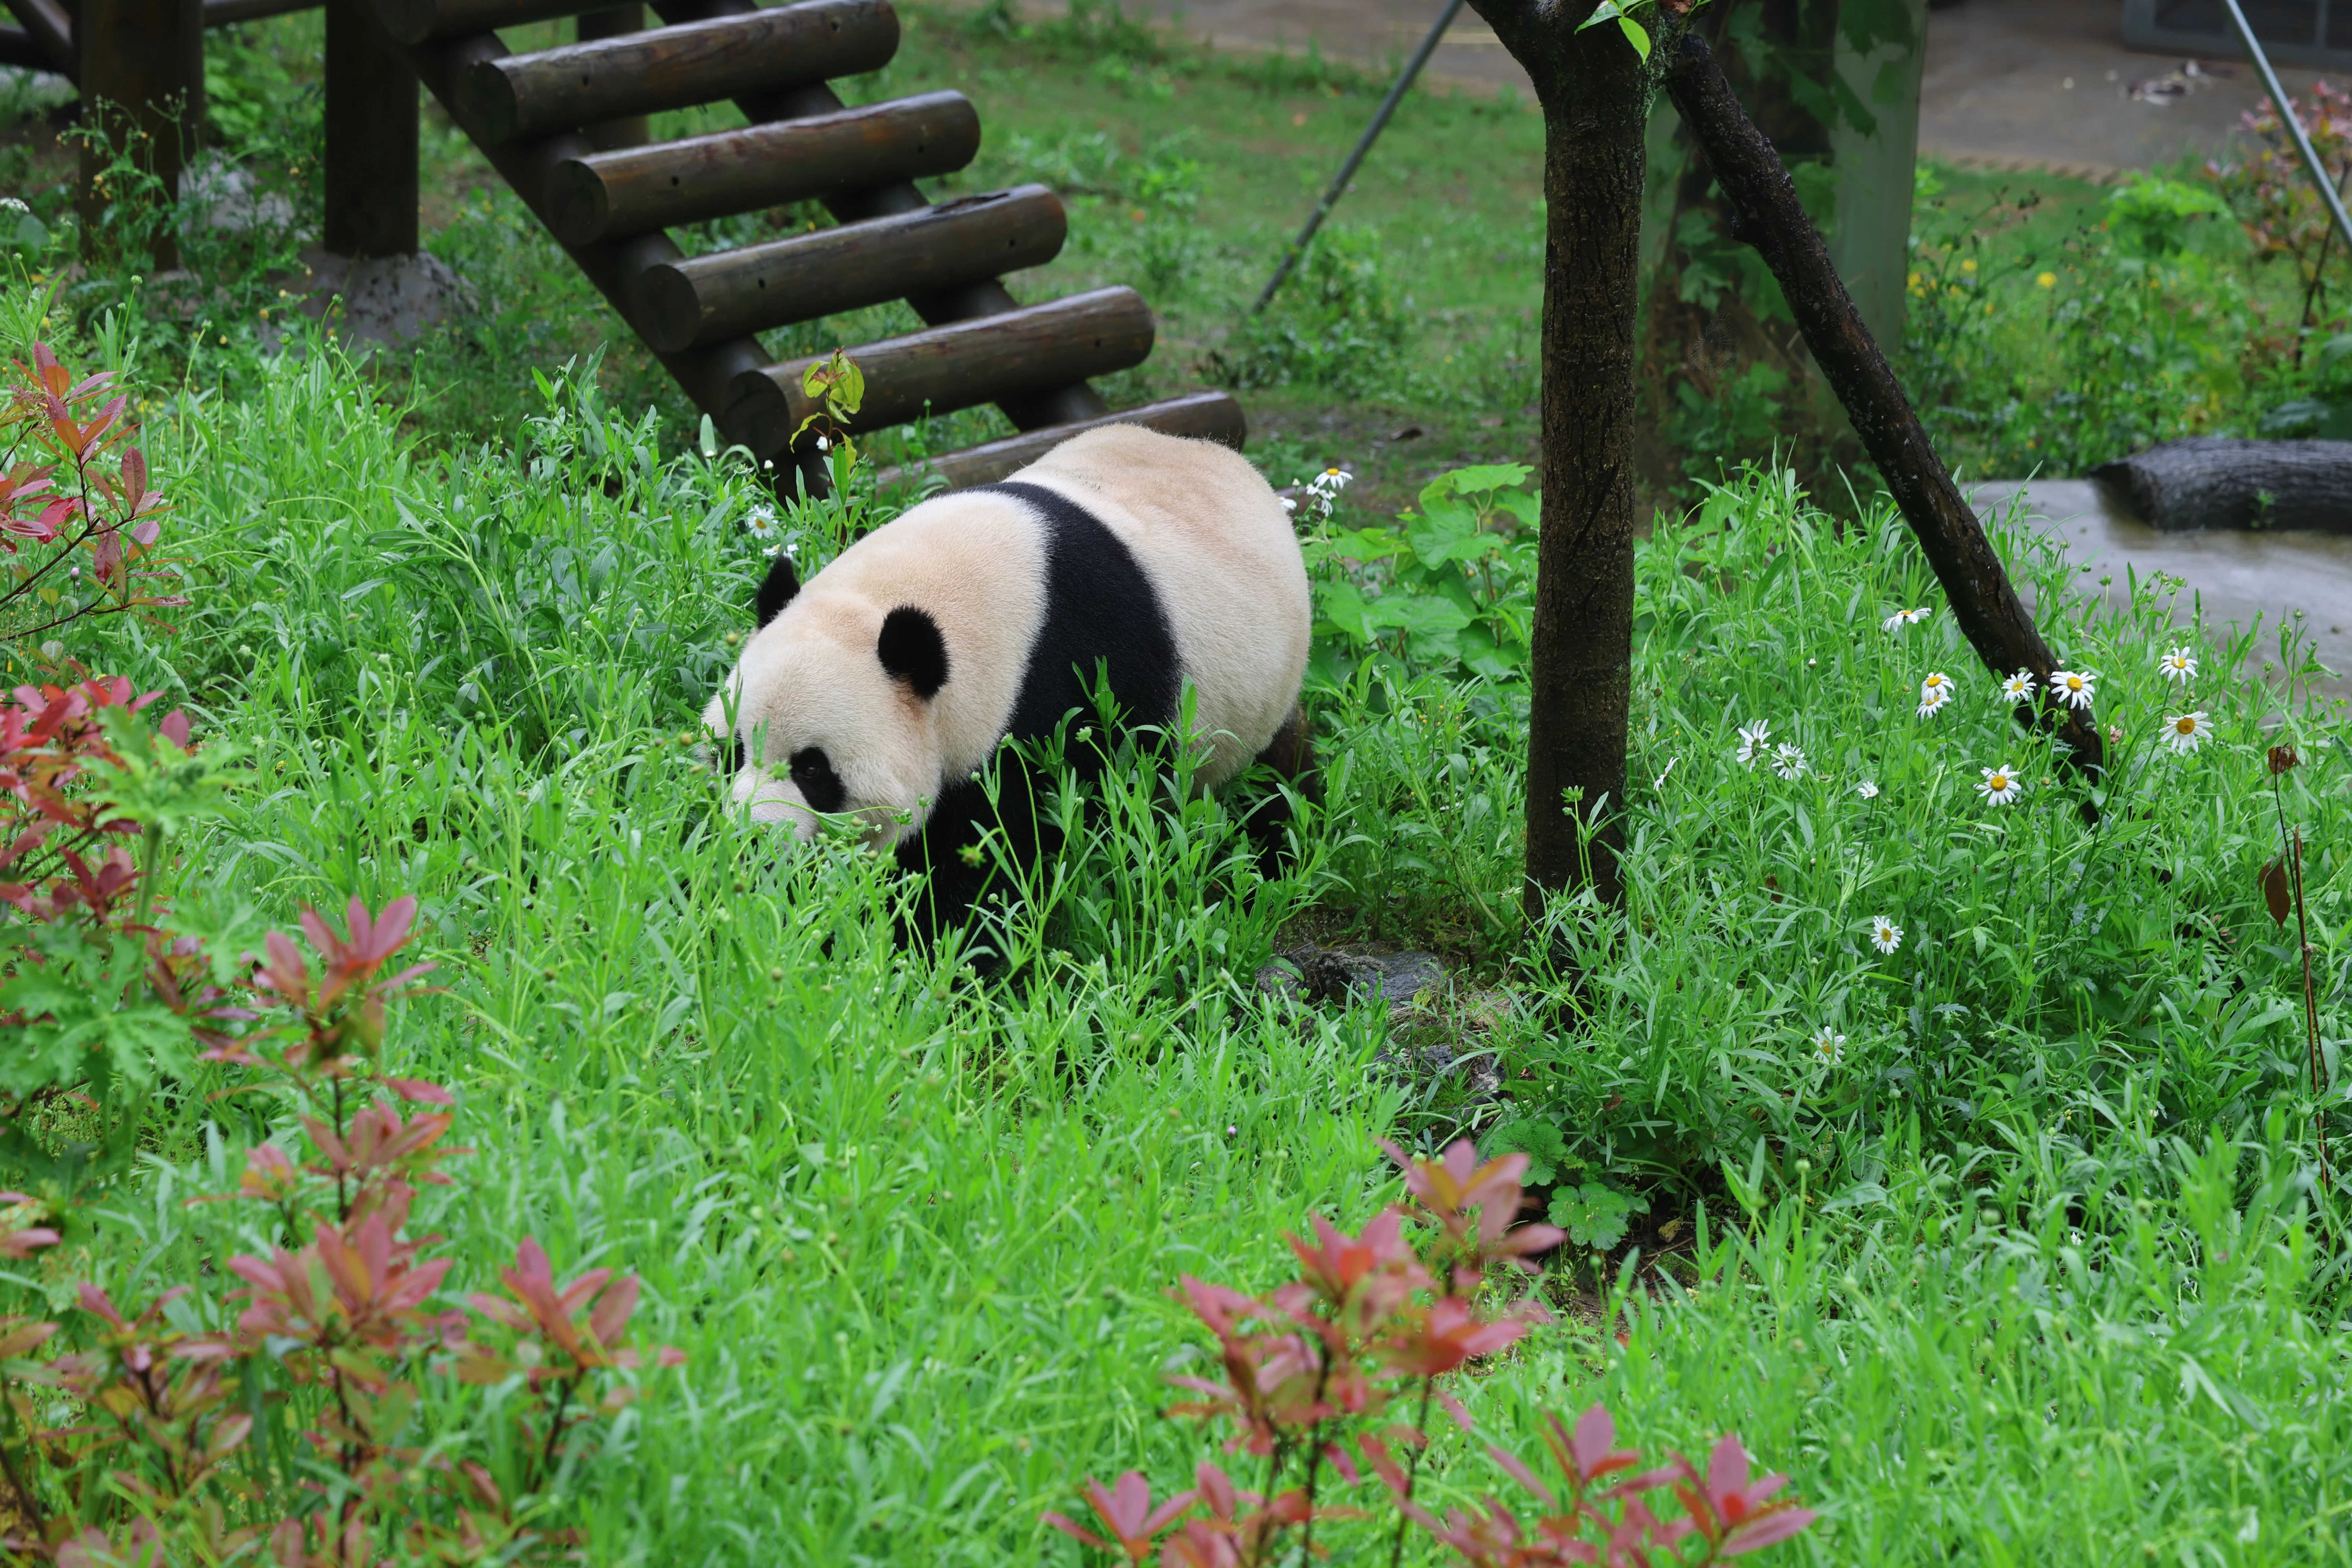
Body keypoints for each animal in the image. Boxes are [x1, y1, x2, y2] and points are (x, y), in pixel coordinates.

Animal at [703, 423, 1318, 955]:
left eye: (813, 769)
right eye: (733, 752)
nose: (751, 840)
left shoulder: (1057, 697)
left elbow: (993, 854)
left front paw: (922, 956)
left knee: (1278, 779)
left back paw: (1276, 858)